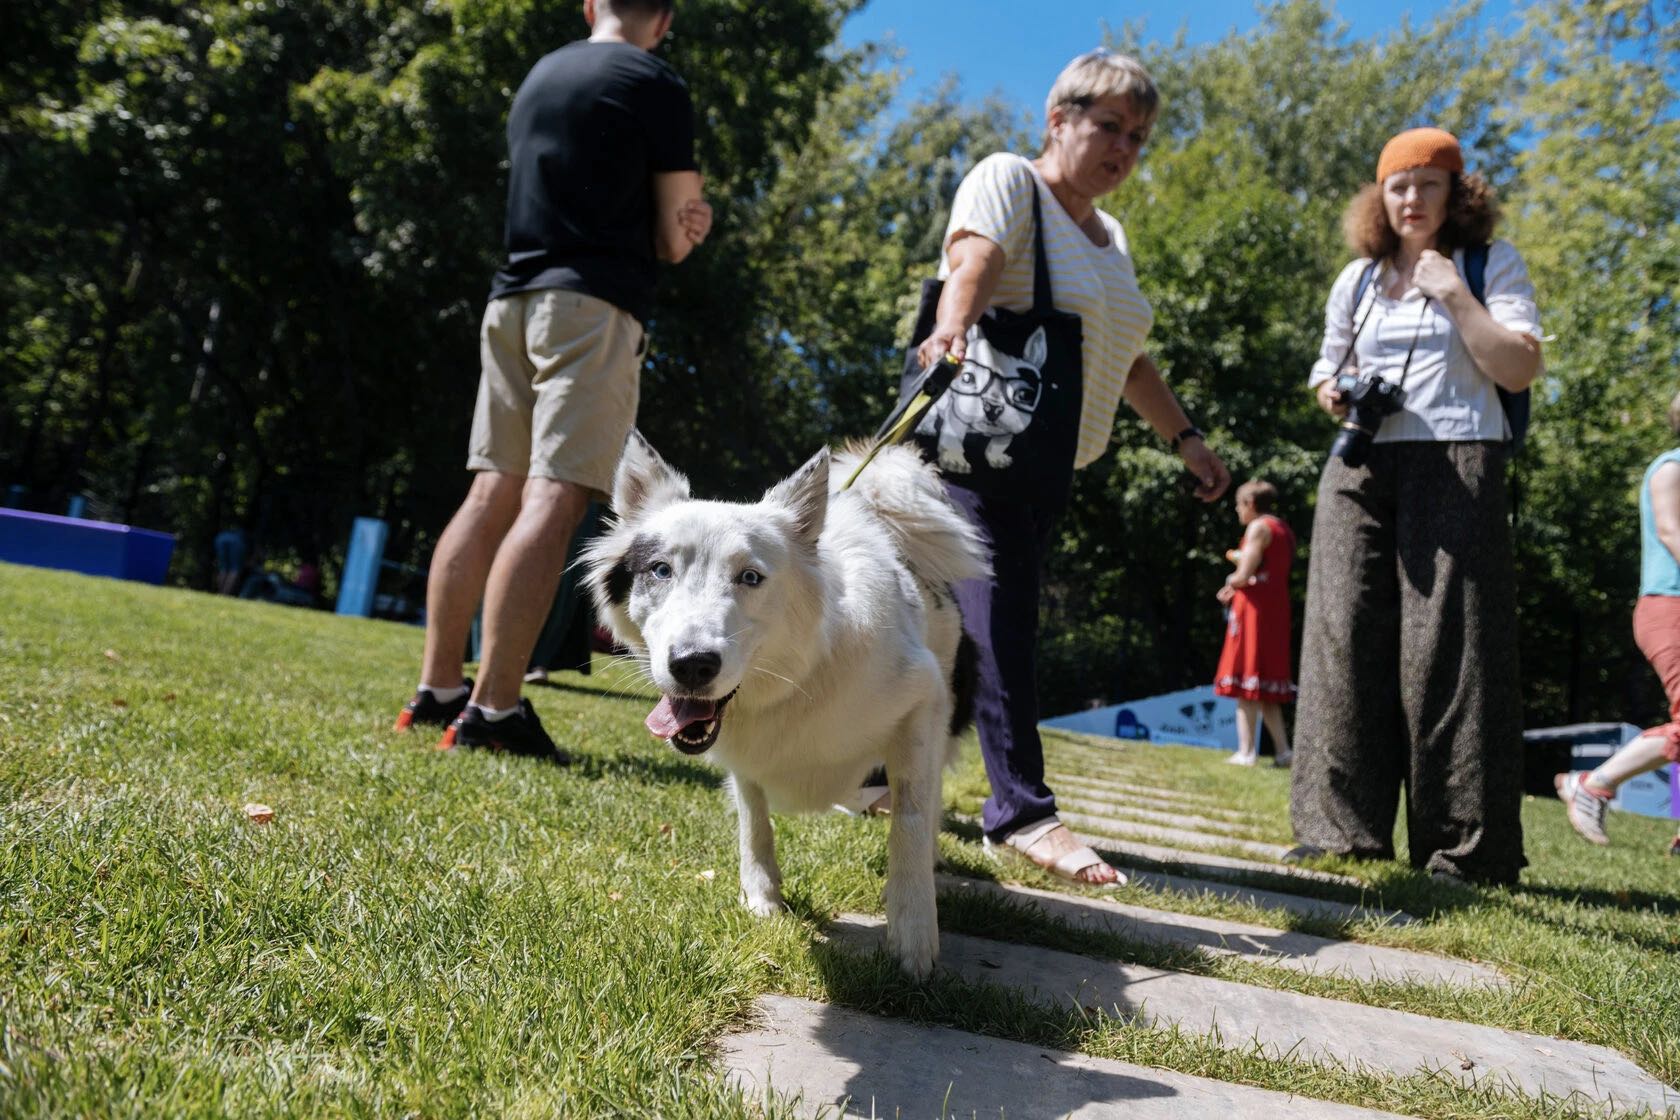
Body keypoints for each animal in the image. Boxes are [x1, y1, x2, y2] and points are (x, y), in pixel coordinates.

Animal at [582, 433, 989, 977]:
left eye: (751, 577)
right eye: (660, 570)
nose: (692, 665)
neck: (795, 678)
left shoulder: (920, 699)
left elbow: (911, 815)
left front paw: (913, 932)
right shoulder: (743, 755)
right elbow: (753, 815)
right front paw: (763, 896)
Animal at [916, 322, 1048, 473]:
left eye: (1024, 395)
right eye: (967, 379)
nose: (993, 407)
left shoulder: (1008, 429)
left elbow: (999, 445)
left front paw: (997, 458)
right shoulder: (956, 416)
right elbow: (953, 438)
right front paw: (954, 460)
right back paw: (925, 427)